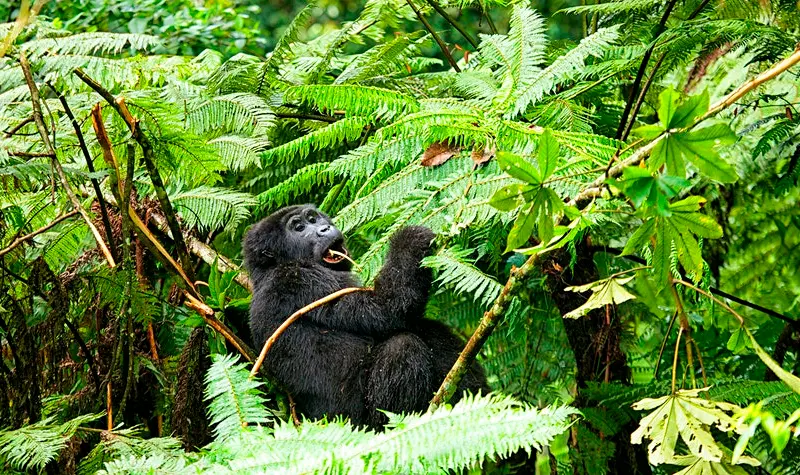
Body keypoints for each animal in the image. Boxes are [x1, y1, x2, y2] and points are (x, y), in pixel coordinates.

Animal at [241, 206, 484, 430]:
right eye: (299, 228)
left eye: (313, 218)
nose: (324, 228)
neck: (269, 269)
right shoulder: (300, 279)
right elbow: (387, 308)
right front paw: (410, 239)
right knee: (403, 346)